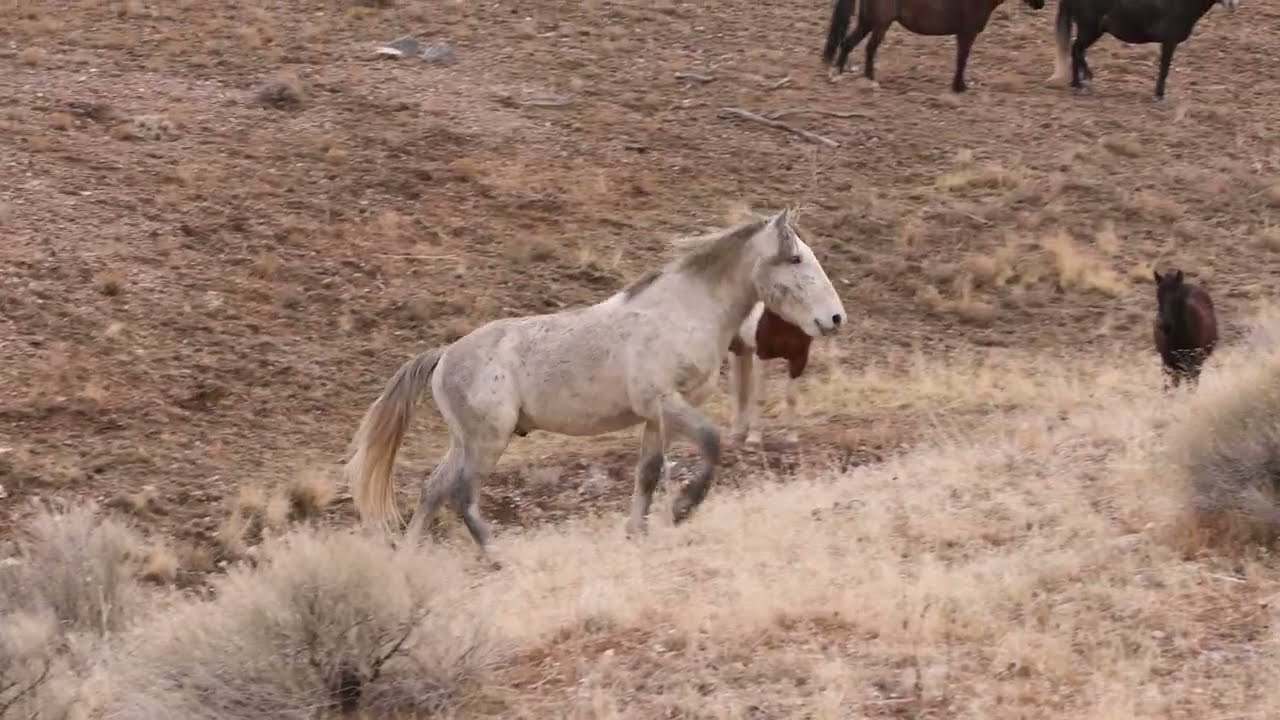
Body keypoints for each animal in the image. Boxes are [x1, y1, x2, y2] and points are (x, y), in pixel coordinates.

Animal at [726, 302, 814, 447]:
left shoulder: (800, 358)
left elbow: (792, 398)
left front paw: (792, 437)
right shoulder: (761, 356)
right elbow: (759, 398)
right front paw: (754, 437)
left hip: (746, 350)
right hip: (736, 351)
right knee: (738, 391)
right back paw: (736, 432)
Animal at [822, 0, 1046, 93]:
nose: (1040, 4)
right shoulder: (967, 34)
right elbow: (962, 59)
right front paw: (959, 87)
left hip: (868, 22)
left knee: (848, 43)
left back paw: (839, 75)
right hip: (880, 23)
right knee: (869, 48)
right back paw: (868, 80)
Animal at [1047, 0, 1240, 101]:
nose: (1233, 5)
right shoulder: (1169, 42)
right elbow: (1164, 70)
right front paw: (1159, 97)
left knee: (1076, 51)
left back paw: (1078, 82)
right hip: (1090, 29)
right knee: (1076, 50)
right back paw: (1082, 82)